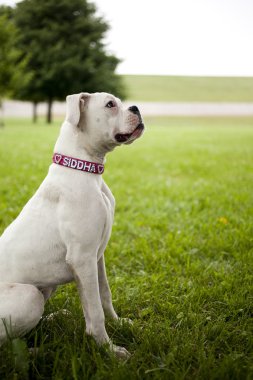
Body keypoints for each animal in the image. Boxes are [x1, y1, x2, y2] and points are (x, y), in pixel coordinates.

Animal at [0, 91, 144, 356]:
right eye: (110, 104)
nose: (136, 108)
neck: (85, 170)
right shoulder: (82, 258)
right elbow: (94, 312)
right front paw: (109, 351)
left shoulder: (96, 257)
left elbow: (104, 295)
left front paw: (119, 323)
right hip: (29, 296)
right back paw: (40, 352)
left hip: (46, 288)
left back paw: (55, 319)